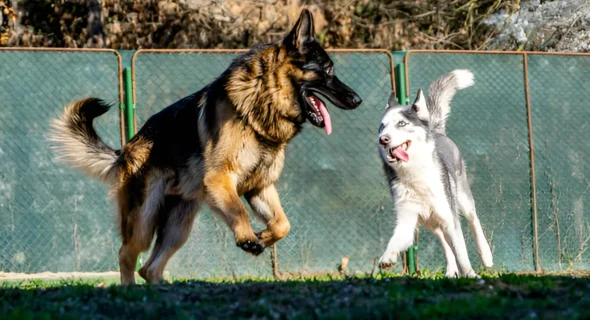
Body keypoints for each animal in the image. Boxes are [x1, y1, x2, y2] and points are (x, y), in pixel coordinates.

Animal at [380, 70, 494, 278]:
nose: (382, 139)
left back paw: (486, 256)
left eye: (401, 123)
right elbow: (396, 239)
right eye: (382, 126)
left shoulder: (450, 218)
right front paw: (387, 257)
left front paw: (470, 274)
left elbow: (462, 252)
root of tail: (436, 130)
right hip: (429, 222)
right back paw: (450, 271)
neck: (415, 174)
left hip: (462, 201)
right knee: (444, 242)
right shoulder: (407, 217)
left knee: (474, 221)